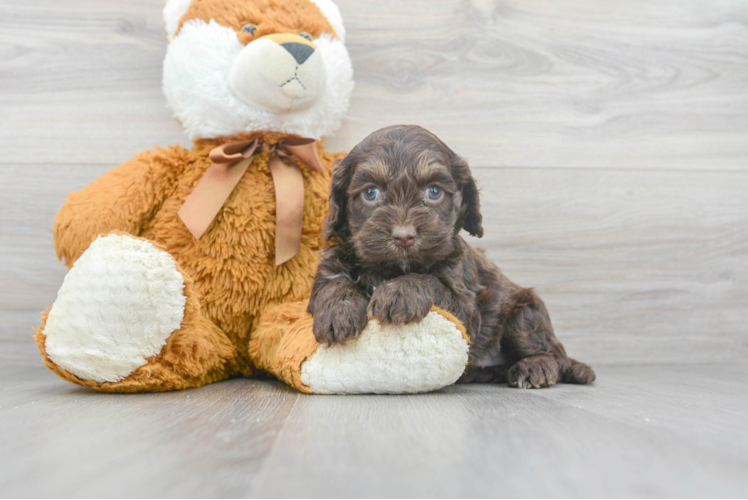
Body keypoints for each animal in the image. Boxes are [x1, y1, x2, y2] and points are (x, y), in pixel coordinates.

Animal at [306, 126, 596, 390]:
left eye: (434, 192)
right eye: (370, 193)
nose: (403, 236)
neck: (391, 269)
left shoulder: (465, 304)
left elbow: (429, 281)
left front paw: (399, 292)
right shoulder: (329, 266)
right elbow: (333, 283)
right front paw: (337, 311)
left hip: (524, 313)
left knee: (552, 352)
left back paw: (536, 366)